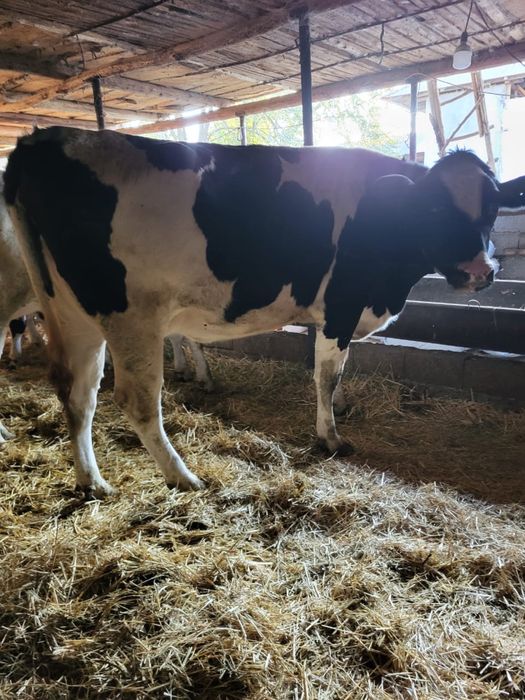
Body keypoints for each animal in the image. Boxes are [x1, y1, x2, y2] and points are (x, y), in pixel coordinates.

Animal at [4, 127, 524, 497]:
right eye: (435, 210)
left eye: (493, 207)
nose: (481, 272)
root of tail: (40, 140)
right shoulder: (341, 306)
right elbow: (326, 375)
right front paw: (330, 437)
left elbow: (331, 373)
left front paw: (338, 413)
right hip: (131, 316)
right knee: (135, 399)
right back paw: (182, 476)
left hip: (73, 313)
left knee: (77, 393)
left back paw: (92, 481)